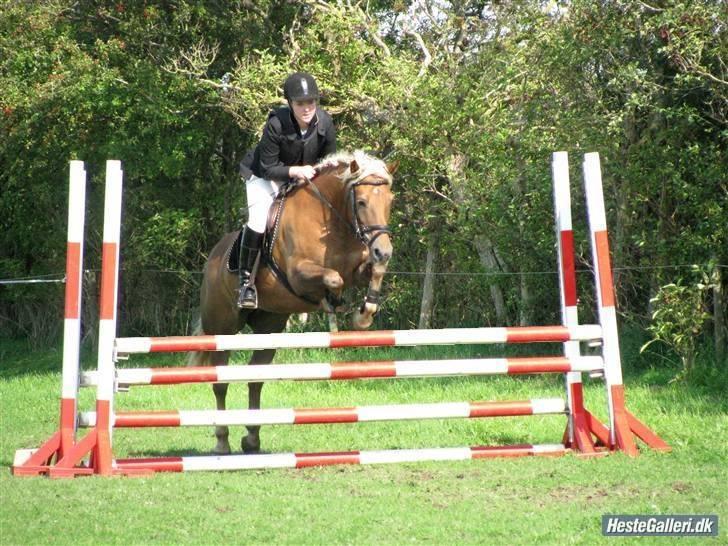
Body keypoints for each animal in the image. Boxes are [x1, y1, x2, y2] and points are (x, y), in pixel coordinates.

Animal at [191, 151, 396, 452]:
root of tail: (213, 258)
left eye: (389, 201)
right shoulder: (299, 274)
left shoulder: (361, 267)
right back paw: (222, 441)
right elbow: (334, 278)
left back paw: (252, 438)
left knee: (255, 379)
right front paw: (330, 307)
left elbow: (373, 272)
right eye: (361, 202)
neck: (332, 220)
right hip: (222, 328)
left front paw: (363, 314)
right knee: (221, 382)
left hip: (269, 328)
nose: (384, 251)